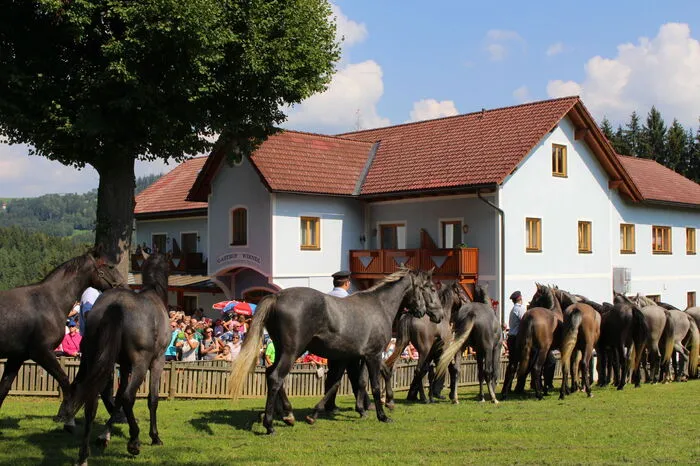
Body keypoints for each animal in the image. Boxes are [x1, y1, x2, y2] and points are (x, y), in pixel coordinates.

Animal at [0, 249, 124, 424]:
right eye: (110, 266)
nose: (123, 285)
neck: (49, 301)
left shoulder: (16, 357)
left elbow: (3, 389)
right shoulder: (41, 352)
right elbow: (65, 381)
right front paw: (66, 414)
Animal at [57, 252, 171, 465]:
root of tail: (115, 305)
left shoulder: (124, 365)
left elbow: (116, 398)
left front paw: (105, 434)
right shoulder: (157, 361)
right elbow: (151, 399)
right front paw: (155, 436)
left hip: (92, 359)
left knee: (89, 398)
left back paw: (82, 452)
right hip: (140, 364)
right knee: (128, 396)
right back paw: (134, 440)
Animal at [228, 268, 443, 434]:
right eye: (430, 288)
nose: (436, 315)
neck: (379, 306)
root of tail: (276, 296)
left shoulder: (351, 357)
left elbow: (344, 383)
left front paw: (345, 410)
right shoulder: (373, 355)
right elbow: (372, 385)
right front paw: (382, 414)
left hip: (282, 349)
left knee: (270, 373)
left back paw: (287, 414)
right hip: (293, 351)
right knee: (276, 377)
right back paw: (270, 425)